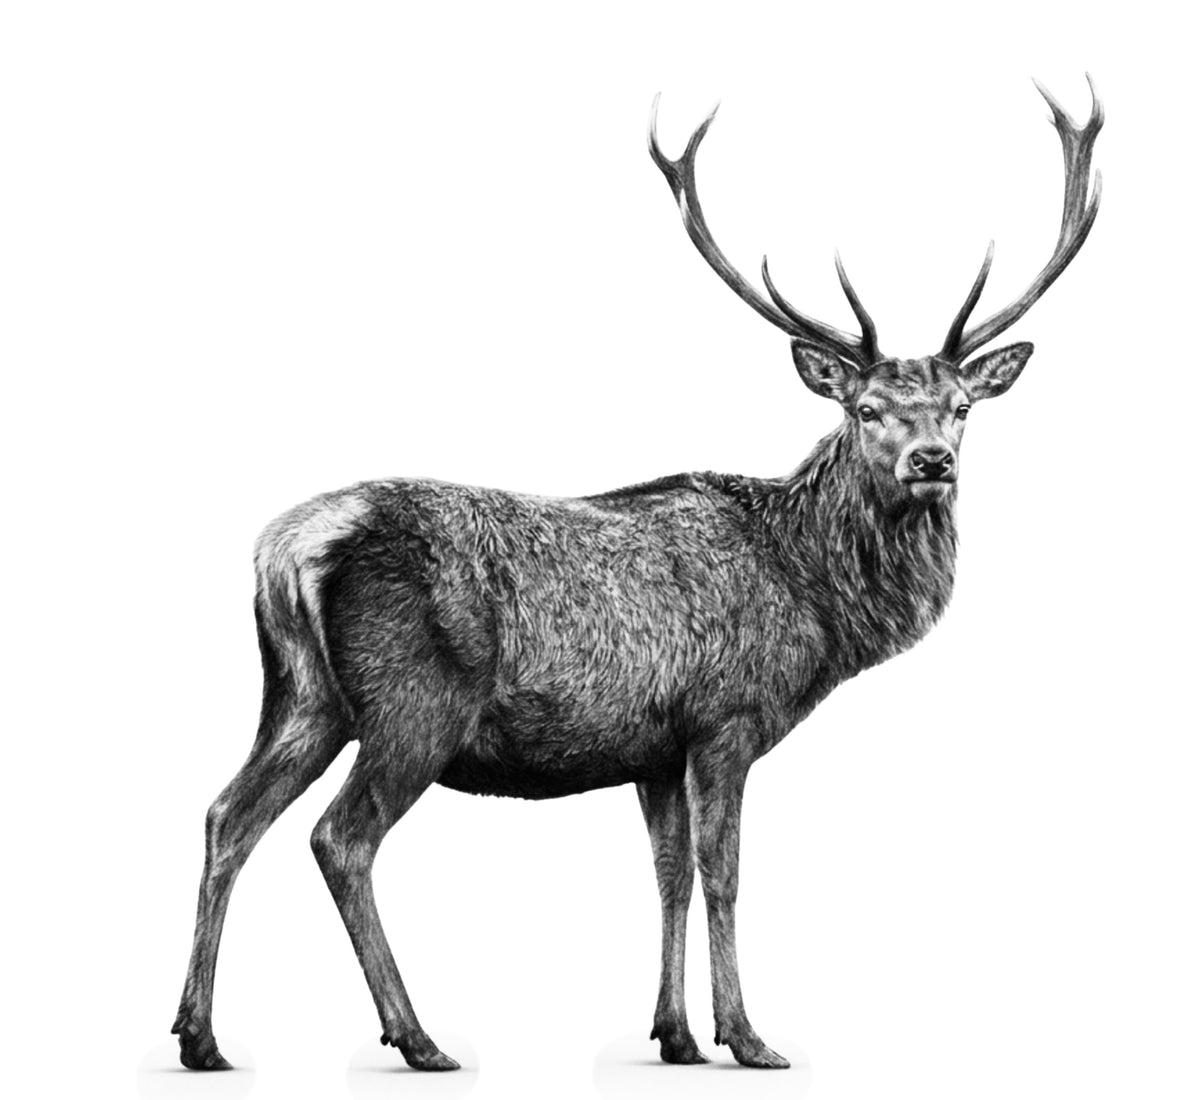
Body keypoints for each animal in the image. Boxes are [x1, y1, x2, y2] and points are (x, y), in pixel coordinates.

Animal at [172, 78, 1103, 1072]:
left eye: (961, 407)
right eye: (867, 409)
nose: (933, 461)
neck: (813, 598)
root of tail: (288, 547)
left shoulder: (653, 748)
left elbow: (668, 877)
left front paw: (676, 1034)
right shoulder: (726, 718)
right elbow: (723, 874)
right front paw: (747, 1036)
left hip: (303, 698)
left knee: (227, 814)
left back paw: (201, 1036)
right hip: (410, 704)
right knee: (339, 838)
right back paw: (416, 1036)